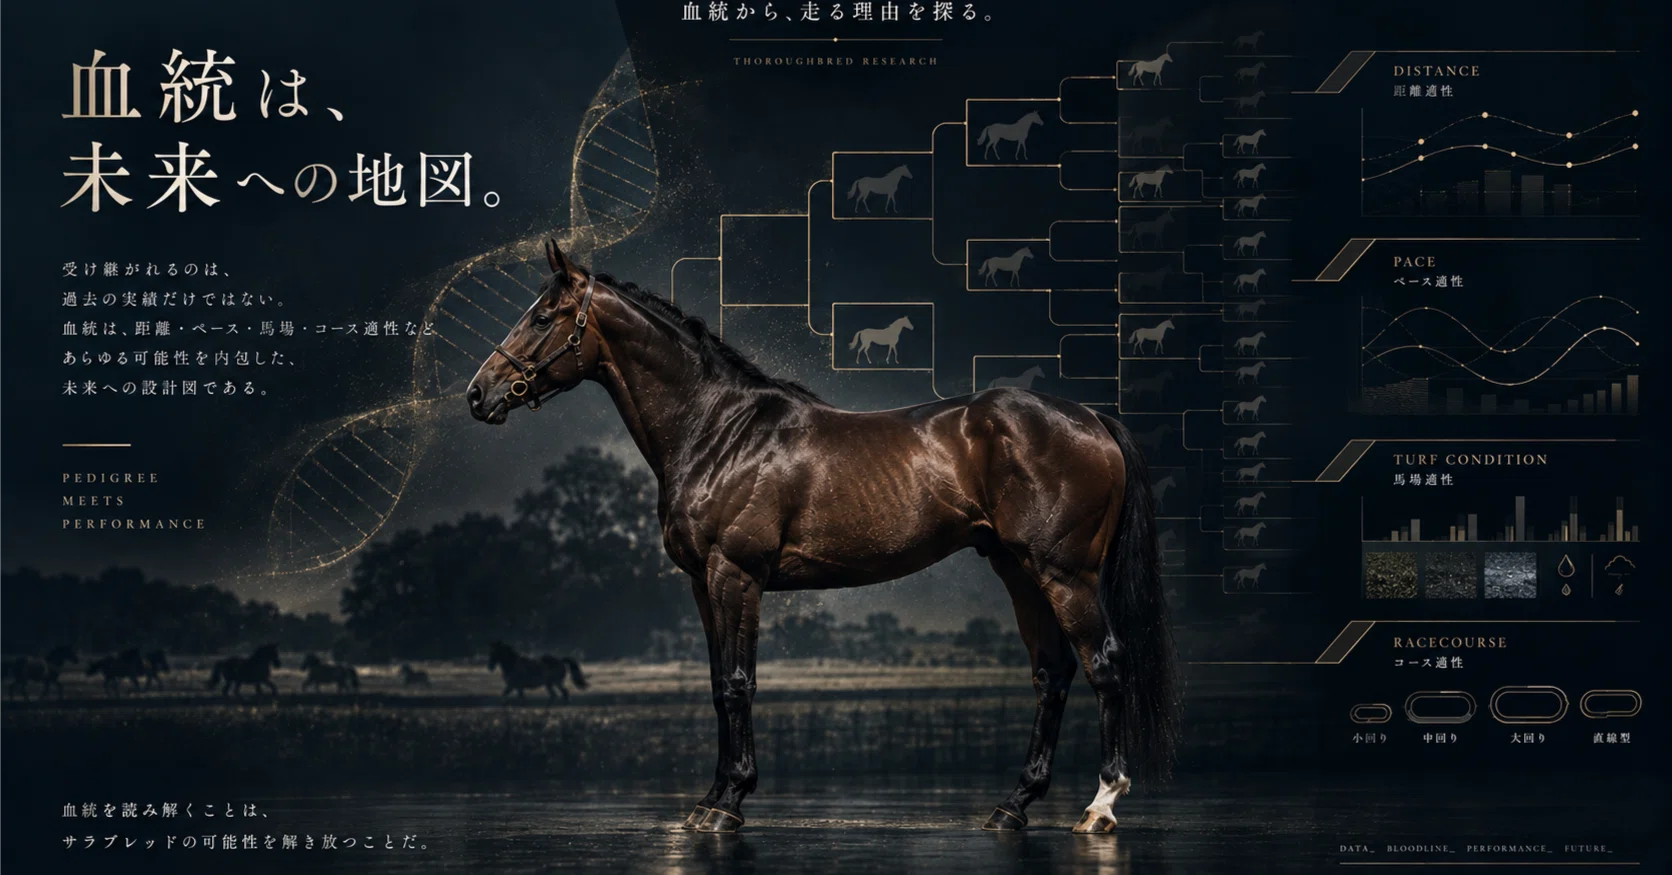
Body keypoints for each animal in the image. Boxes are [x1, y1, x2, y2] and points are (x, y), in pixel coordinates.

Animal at [467, 239, 1179, 834]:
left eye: (543, 316)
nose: (480, 394)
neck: (719, 430)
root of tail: (1092, 418)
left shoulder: (735, 575)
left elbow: (739, 683)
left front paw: (728, 804)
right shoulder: (702, 584)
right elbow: (717, 685)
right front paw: (709, 799)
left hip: (1065, 575)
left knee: (1104, 664)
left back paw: (1100, 806)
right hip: (1019, 571)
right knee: (1051, 674)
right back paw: (1013, 806)